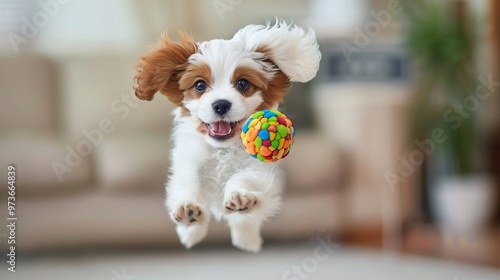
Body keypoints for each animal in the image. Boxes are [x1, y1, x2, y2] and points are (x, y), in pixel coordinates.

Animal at [133, 19, 320, 252]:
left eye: (243, 84)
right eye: (200, 85)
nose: (221, 104)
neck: (222, 149)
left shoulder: (259, 169)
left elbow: (244, 178)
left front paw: (239, 196)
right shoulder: (189, 162)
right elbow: (188, 183)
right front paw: (188, 209)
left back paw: (246, 240)